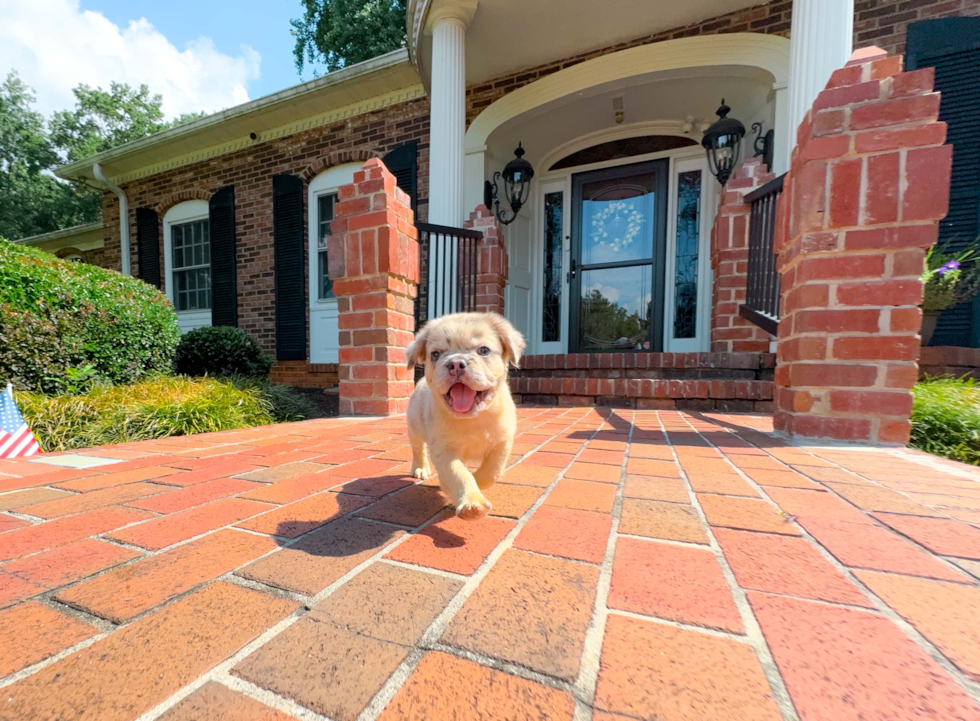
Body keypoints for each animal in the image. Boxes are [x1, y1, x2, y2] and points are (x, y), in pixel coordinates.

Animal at [406, 312, 528, 520]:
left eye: (484, 350)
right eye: (435, 354)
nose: (455, 363)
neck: (473, 419)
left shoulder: (502, 443)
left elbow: (491, 472)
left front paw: (477, 481)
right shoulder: (444, 451)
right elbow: (458, 474)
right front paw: (471, 502)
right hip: (414, 428)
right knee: (417, 449)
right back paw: (420, 468)